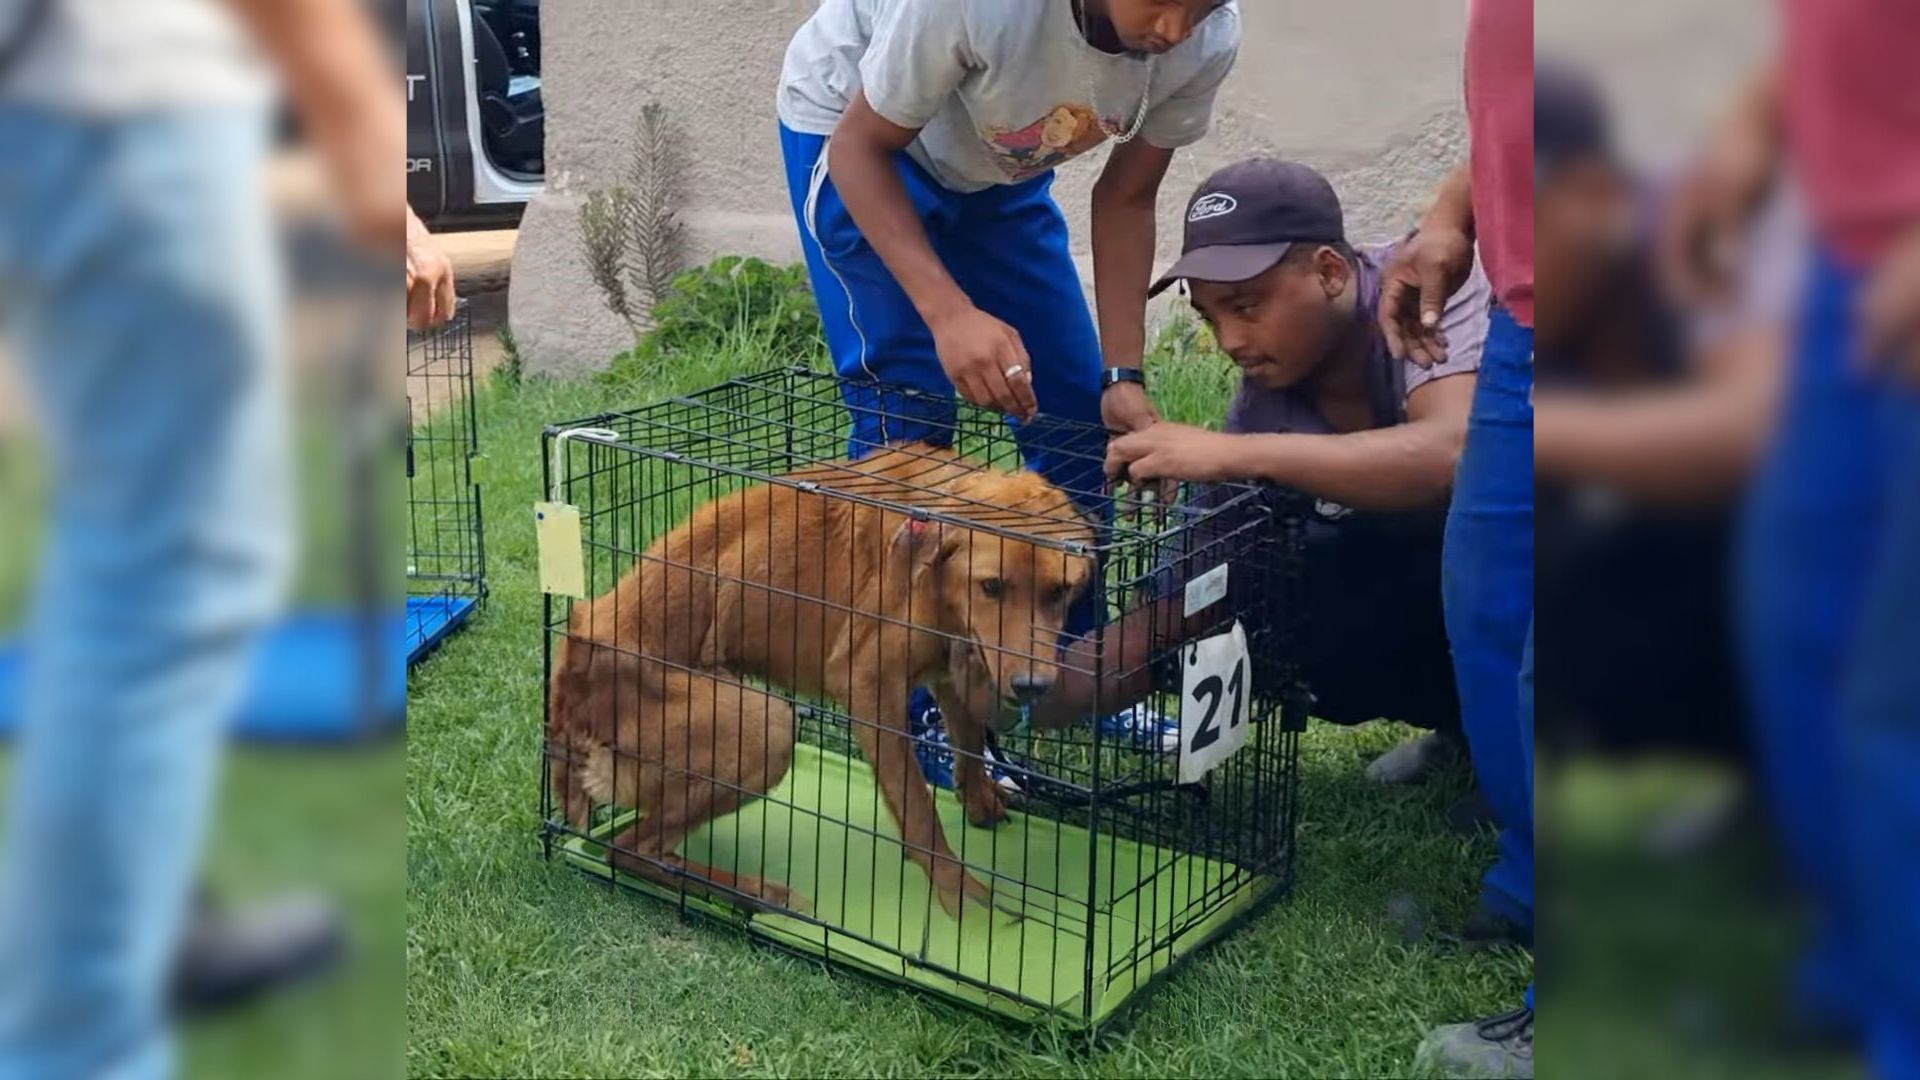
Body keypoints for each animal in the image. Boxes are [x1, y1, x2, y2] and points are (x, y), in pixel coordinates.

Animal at [549, 441, 1105, 910]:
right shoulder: (867, 685)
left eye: (1058, 592)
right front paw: (960, 896)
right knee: (629, 849)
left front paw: (980, 799)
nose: (1032, 687)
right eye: (991, 586)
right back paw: (757, 893)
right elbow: (919, 813)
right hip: (765, 723)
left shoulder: (954, 665)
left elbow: (968, 744)